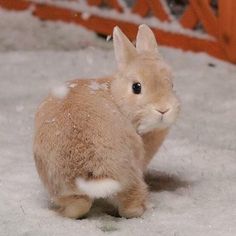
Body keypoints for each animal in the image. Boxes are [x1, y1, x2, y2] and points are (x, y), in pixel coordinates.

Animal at [33, 24, 180, 219]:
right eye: (136, 87)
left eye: (171, 85)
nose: (163, 109)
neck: (115, 93)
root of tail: (94, 170)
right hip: (131, 175)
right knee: (129, 205)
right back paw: (144, 208)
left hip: (59, 185)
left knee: (78, 206)